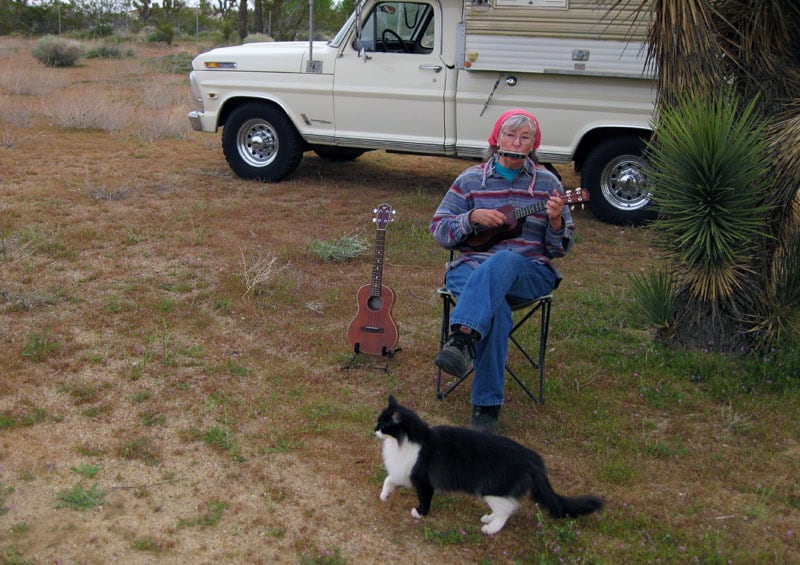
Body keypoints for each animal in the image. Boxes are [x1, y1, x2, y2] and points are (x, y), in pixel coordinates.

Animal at [374, 394, 600, 532]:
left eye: (383, 424)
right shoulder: (403, 472)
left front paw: (419, 514)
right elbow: (388, 480)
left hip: (491, 489)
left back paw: (490, 528)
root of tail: (533, 459)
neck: (407, 441)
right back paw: (488, 519)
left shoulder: (423, 481)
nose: (373, 429)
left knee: (508, 510)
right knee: (507, 507)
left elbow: (423, 501)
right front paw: (384, 496)